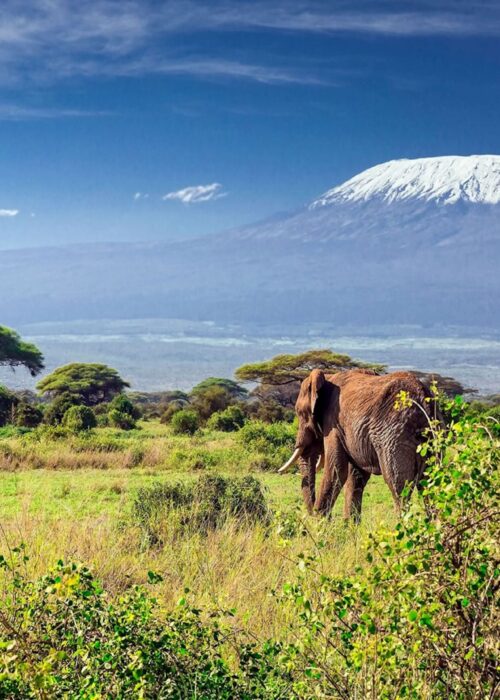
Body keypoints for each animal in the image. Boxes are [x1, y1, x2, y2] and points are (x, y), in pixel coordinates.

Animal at [280, 370, 436, 516]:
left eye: (300, 413)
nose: (312, 512)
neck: (328, 378)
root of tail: (423, 401)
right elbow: (356, 476)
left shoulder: (333, 424)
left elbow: (336, 470)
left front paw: (320, 522)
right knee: (431, 484)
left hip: (394, 437)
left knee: (398, 486)